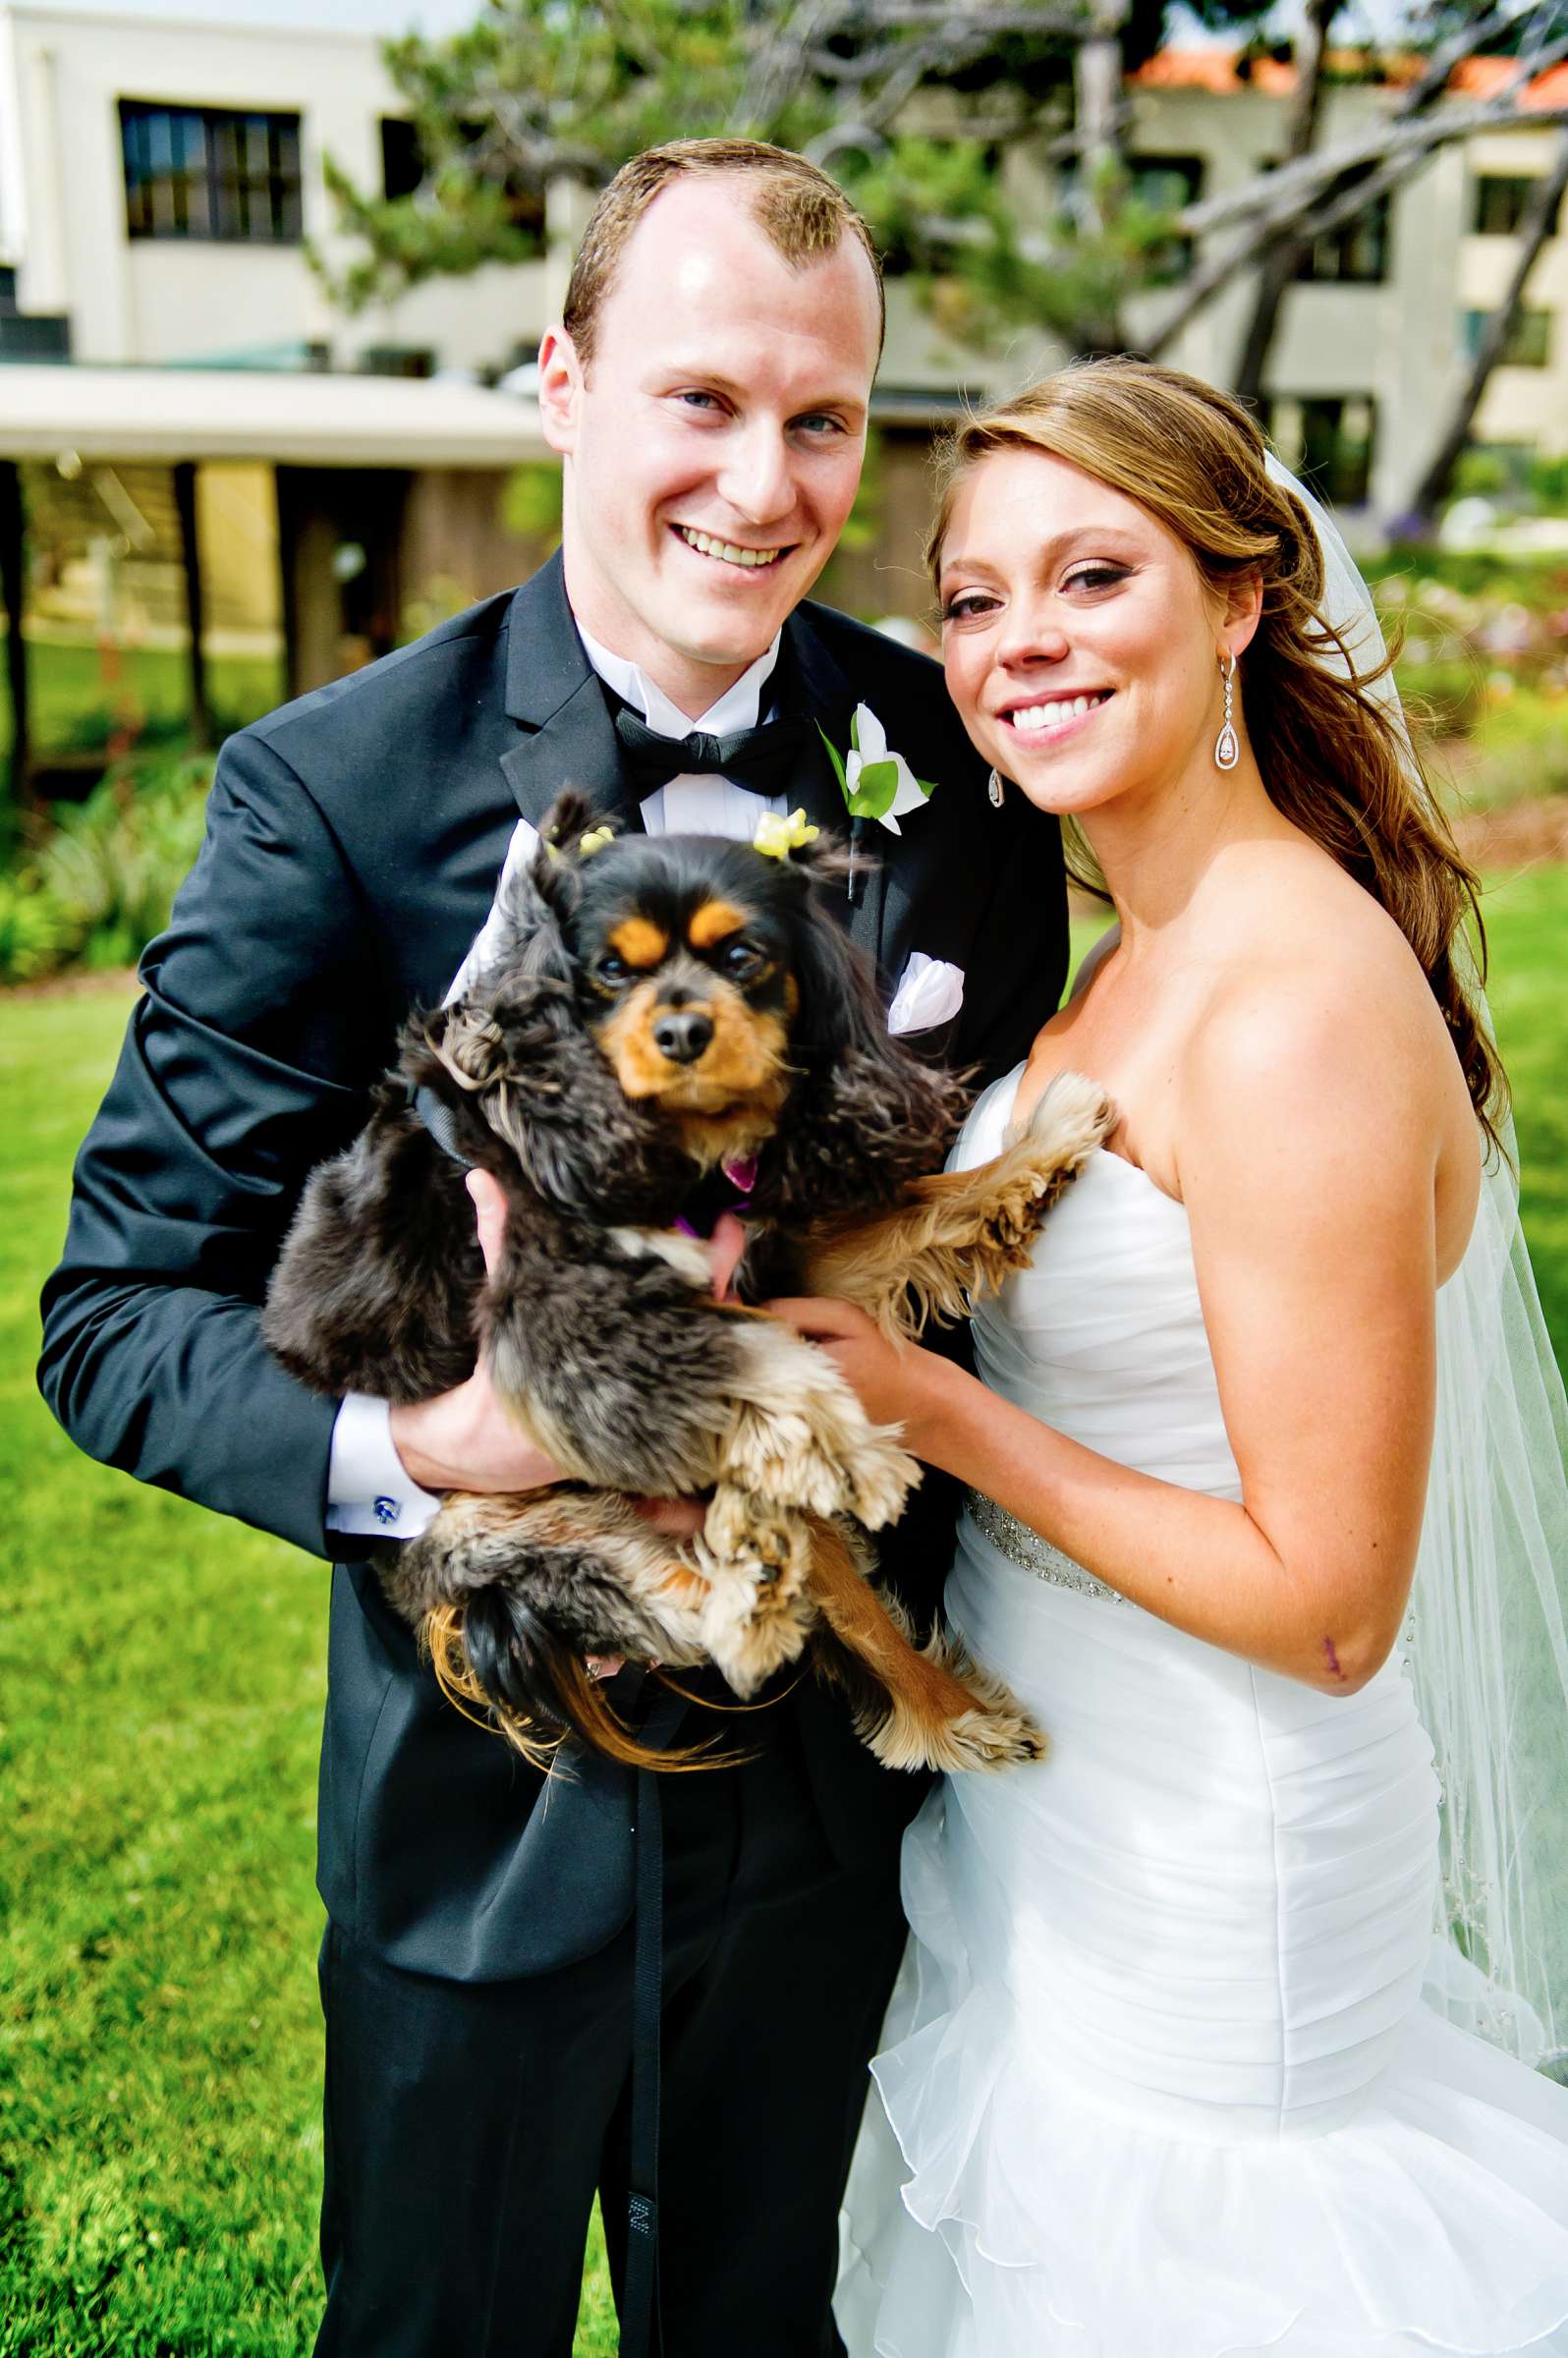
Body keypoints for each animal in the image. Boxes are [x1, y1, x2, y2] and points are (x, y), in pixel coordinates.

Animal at [262, 792, 1108, 1772]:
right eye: (608, 971)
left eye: (742, 956)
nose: (681, 1034)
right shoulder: (566, 1324)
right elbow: (751, 1369)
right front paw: (844, 1448)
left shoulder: (790, 1264)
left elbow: (927, 1211)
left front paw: (1041, 1148)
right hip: (505, 1524)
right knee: (717, 1602)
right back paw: (920, 1693)